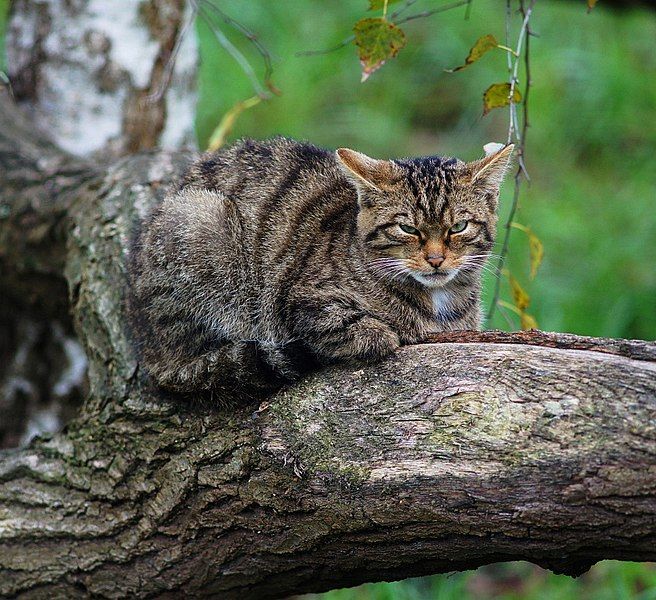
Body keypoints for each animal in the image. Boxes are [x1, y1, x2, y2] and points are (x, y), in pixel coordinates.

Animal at [127, 137, 512, 398]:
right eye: (407, 228)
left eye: (458, 227)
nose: (435, 258)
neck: (440, 301)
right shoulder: (302, 301)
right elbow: (368, 330)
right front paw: (386, 333)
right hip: (201, 224)